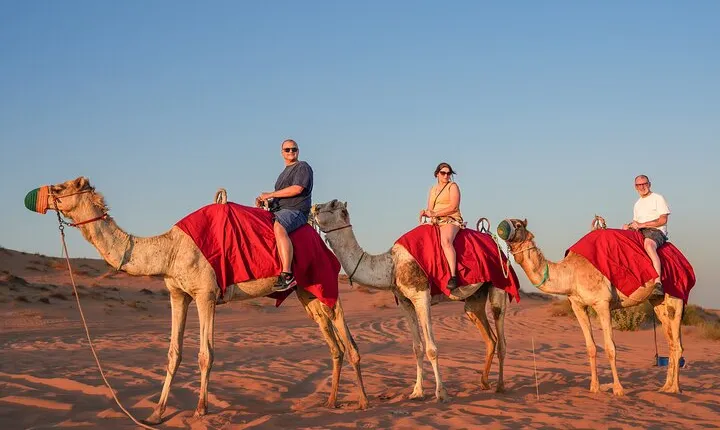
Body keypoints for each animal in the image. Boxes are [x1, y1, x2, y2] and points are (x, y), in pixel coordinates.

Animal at [26, 177, 368, 424]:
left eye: (61, 187)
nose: (34, 196)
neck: (169, 249)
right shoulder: (178, 295)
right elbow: (173, 353)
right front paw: (157, 412)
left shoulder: (206, 295)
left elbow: (206, 354)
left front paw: (201, 409)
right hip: (306, 293)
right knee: (332, 340)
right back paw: (330, 401)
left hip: (323, 280)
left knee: (344, 330)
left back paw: (363, 400)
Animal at [311, 199, 510, 402]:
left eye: (332, 204)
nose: (313, 208)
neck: (392, 265)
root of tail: (493, 240)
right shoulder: (405, 303)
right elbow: (417, 348)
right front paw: (417, 391)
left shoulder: (421, 296)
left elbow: (431, 349)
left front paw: (441, 393)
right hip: (474, 298)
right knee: (489, 336)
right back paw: (484, 382)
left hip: (500, 283)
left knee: (501, 336)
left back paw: (500, 386)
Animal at [497, 217, 685, 395]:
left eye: (518, 225)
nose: (501, 226)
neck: (571, 273)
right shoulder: (577, 305)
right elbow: (591, 347)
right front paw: (594, 387)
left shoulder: (602, 303)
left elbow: (610, 347)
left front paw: (618, 389)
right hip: (657, 301)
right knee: (671, 341)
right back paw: (666, 387)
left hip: (676, 296)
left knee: (677, 343)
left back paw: (675, 388)